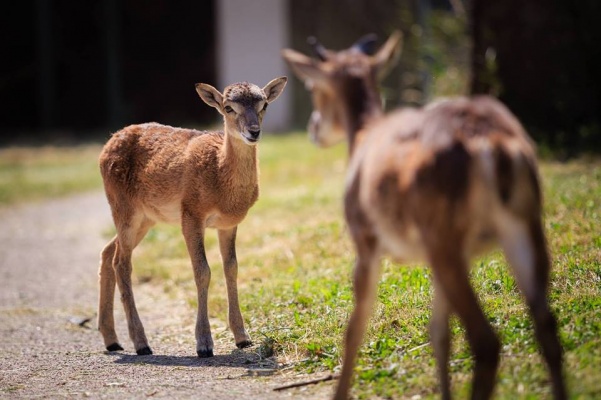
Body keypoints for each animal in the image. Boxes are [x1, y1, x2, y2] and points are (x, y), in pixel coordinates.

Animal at [97, 76, 288, 358]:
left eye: (263, 104)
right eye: (228, 108)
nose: (254, 131)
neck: (220, 176)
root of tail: (105, 146)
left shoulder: (228, 223)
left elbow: (231, 268)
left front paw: (243, 338)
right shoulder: (191, 214)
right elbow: (202, 270)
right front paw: (204, 344)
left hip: (145, 218)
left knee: (108, 251)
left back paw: (112, 340)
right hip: (123, 207)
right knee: (121, 262)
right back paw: (141, 343)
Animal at [282, 32, 564, 400]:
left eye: (313, 86)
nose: (313, 128)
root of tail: (495, 146)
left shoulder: (365, 241)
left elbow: (354, 328)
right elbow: (439, 333)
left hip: (443, 238)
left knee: (486, 341)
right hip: (522, 226)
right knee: (548, 328)